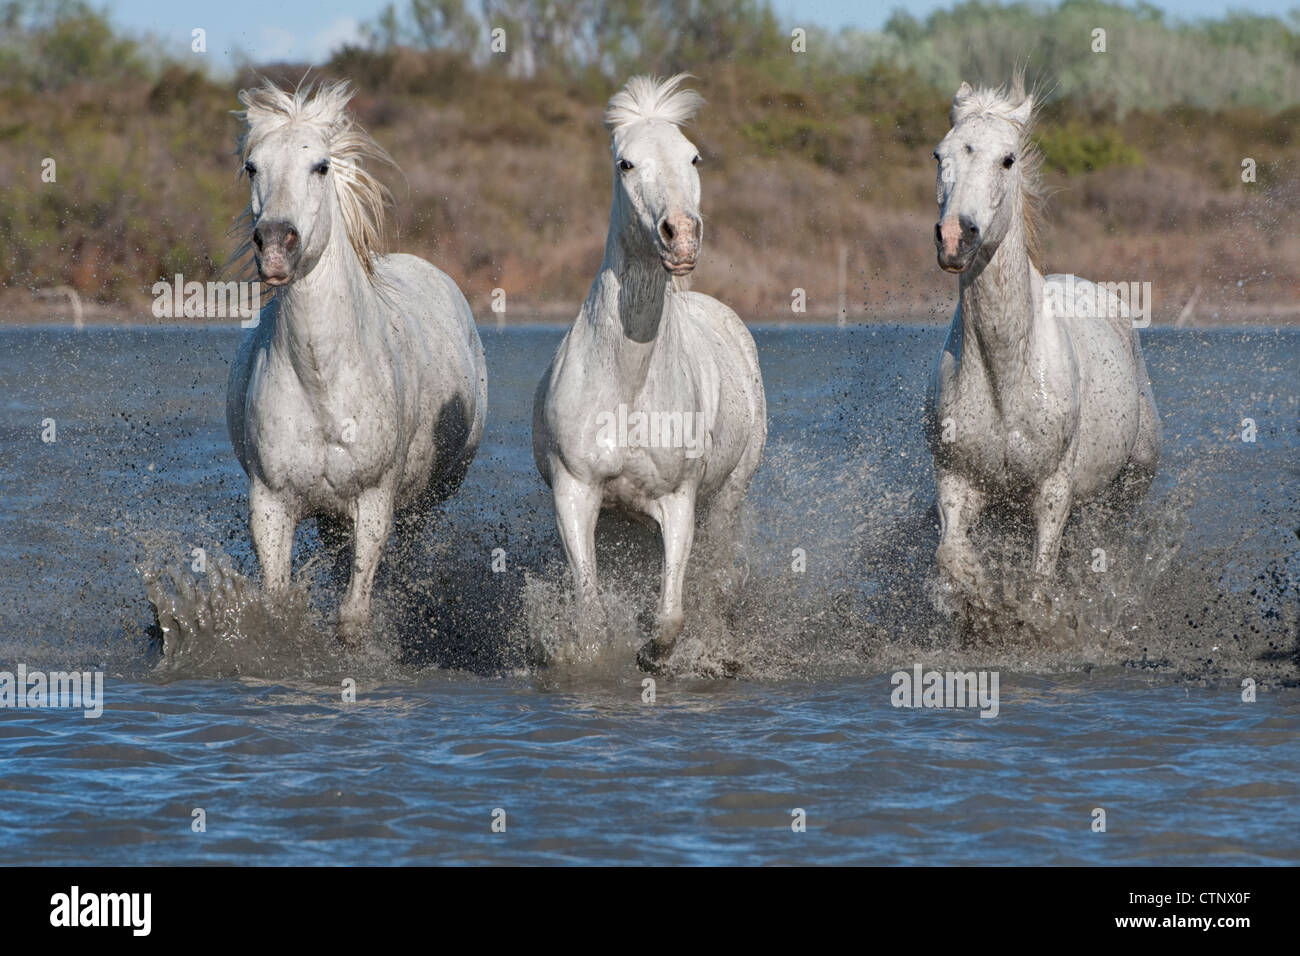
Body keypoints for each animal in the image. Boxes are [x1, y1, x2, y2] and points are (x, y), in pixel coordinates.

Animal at [226, 80, 486, 634]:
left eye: (321, 166)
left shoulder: (374, 504)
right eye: (252, 166)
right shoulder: (271, 506)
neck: (323, 383)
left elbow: (353, 616)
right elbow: (278, 605)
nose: (276, 246)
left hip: (420, 504)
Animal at [533, 74, 764, 671]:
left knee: (715, 581)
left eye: (693, 156)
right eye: (626, 163)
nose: (680, 234)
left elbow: (670, 615)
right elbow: (590, 608)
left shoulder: (679, 501)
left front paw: (651, 655)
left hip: (727, 497)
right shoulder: (576, 493)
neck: (628, 383)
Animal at [925, 74, 1159, 598]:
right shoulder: (956, 482)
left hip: (1132, 479)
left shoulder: (1053, 493)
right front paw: (979, 597)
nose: (955, 238)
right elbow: (951, 556)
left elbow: (1038, 583)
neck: (1006, 375)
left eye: (1008, 159)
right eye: (938, 154)